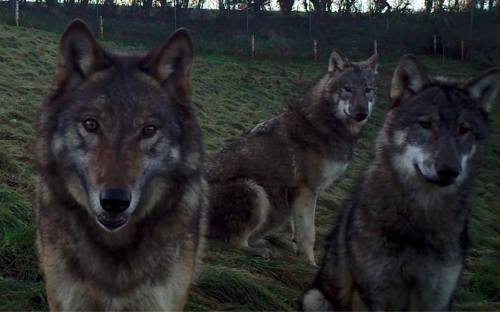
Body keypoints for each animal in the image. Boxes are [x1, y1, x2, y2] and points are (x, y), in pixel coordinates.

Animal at [208, 50, 378, 264]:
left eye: (368, 90)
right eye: (347, 89)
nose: (362, 113)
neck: (327, 127)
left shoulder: (302, 196)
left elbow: (298, 231)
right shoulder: (308, 190)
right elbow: (309, 233)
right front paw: (310, 263)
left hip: (276, 210)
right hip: (256, 191)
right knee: (236, 242)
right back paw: (262, 251)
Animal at [302, 54, 498, 310]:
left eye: (464, 130)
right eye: (425, 124)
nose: (449, 171)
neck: (419, 219)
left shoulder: (436, 299)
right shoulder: (371, 294)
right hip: (314, 298)